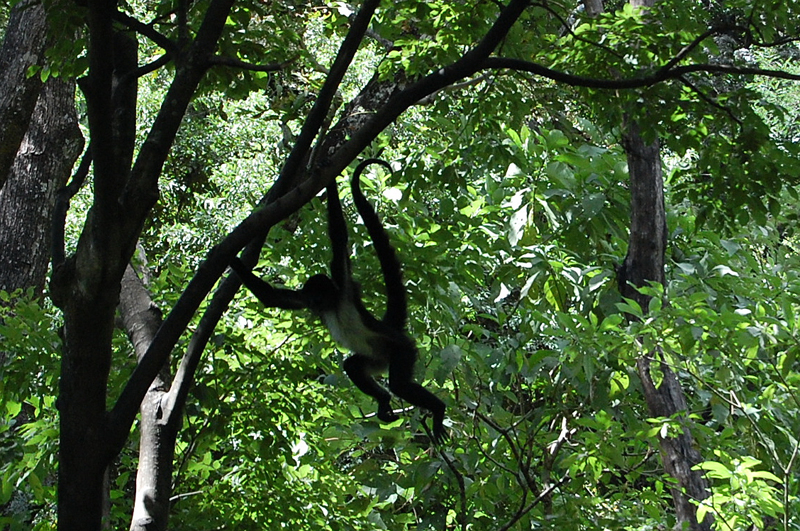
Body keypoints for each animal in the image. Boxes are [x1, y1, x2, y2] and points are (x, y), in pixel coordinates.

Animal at [228, 160, 446, 442]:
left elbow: (338, 235)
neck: (331, 304)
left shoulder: (343, 284)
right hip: (376, 357)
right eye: (311, 297)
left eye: (318, 294)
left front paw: (329, 178)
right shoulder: (307, 298)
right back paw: (384, 400)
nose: (314, 303)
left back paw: (437, 409)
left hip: (401, 349)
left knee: (398, 383)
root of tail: (391, 328)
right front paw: (227, 258)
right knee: (352, 365)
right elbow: (273, 297)